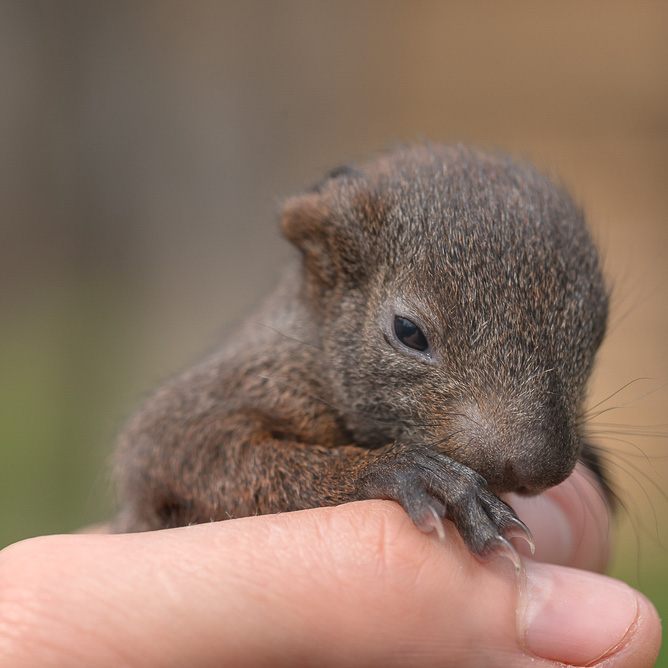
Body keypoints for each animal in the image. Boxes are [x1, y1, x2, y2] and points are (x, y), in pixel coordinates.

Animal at [112, 146, 608, 560]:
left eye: (598, 334)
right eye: (408, 331)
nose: (538, 467)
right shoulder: (221, 396)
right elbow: (187, 452)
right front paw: (402, 471)